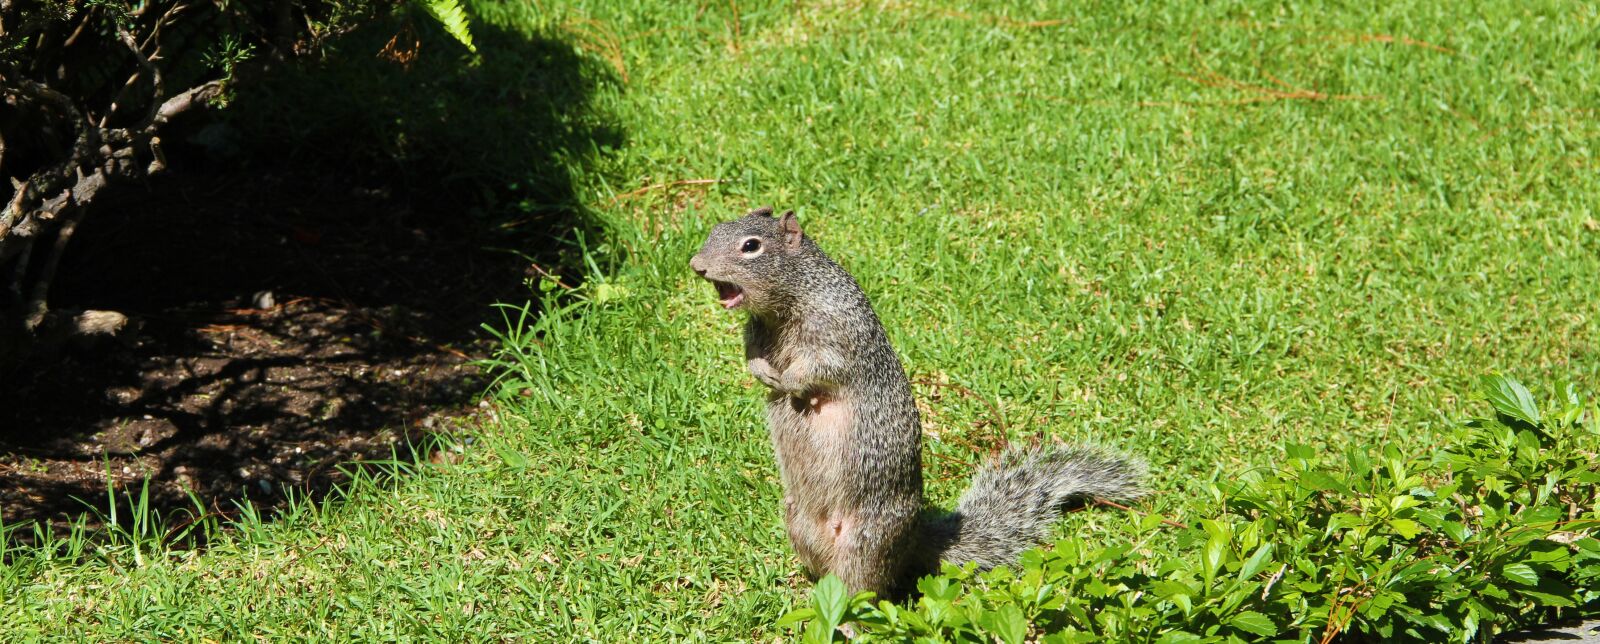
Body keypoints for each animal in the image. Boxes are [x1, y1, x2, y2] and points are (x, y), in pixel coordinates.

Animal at [689, 206, 1146, 597]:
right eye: (715, 229)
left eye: (751, 246)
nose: (697, 265)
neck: (786, 304)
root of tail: (910, 541)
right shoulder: (756, 331)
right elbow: (751, 355)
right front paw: (764, 374)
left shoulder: (838, 332)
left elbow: (822, 368)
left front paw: (788, 382)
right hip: (798, 524)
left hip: (865, 539)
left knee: (862, 587)